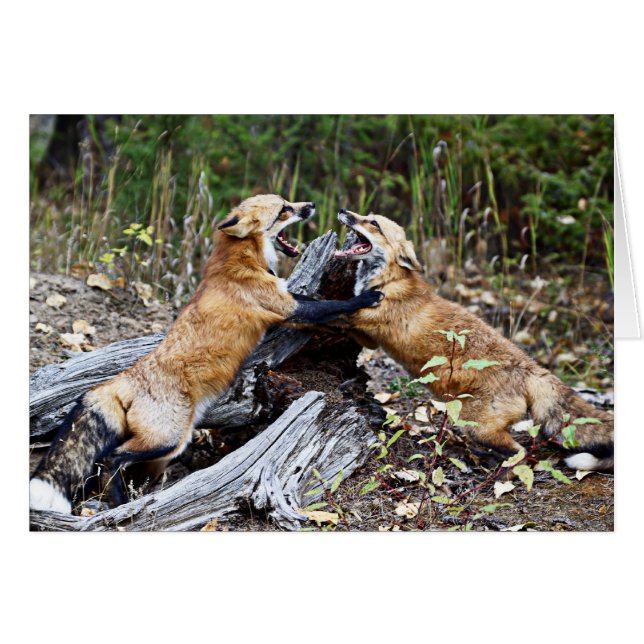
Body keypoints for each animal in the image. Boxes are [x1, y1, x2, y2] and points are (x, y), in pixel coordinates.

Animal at [29, 195, 383, 513]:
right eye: (284, 209)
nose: (310, 205)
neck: (241, 261)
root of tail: (121, 380)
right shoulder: (286, 308)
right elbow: (330, 305)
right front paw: (366, 298)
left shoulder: (287, 301)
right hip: (168, 438)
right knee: (110, 459)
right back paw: (121, 505)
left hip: (165, 450)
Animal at [331, 208, 613, 471]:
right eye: (366, 216)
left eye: (373, 223)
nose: (344, 211)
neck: (388, 281)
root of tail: (532, 367)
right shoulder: (368, 337)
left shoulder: (365, 318)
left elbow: (332, 312)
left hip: (477, 426)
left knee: (521, 454)